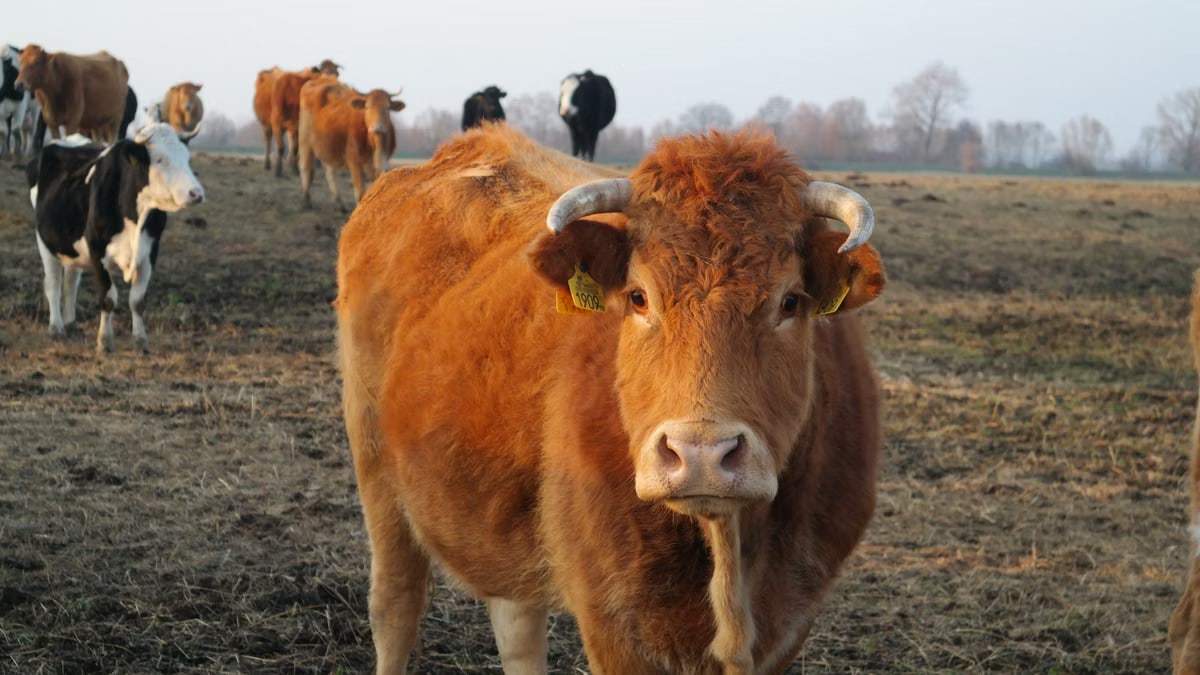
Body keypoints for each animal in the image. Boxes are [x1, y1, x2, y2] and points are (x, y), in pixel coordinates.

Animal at [27, 123, 203, 353]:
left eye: (187, 158)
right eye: (159, 159)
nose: (196, 193)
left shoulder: (150, 252)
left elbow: (138, 300)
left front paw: (140, 341)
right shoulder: (97, 251)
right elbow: (108, 298)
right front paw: (105, 342)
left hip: (71, 247)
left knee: (70, 282)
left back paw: (71, 324)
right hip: (45, 242)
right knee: (53, 283)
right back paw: (56, 328)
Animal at [298, 77, 403, 211]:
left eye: (387, 108)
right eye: (367, 107)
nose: (377, 128)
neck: (373, 145)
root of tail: (322, 80)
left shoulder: (383, 162)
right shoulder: (354, 162)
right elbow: (360, 193)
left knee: (330, 172)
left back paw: (339, 203)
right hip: (305, 140)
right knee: (306, 168)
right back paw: (307, 201)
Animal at [335, 124, 885, 673]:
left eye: (790, 302)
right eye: (638, 297)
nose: (701, 455)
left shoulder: (793, 619)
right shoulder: (612, 623)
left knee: (516, 624)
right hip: (375, 468)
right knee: (396, 606)